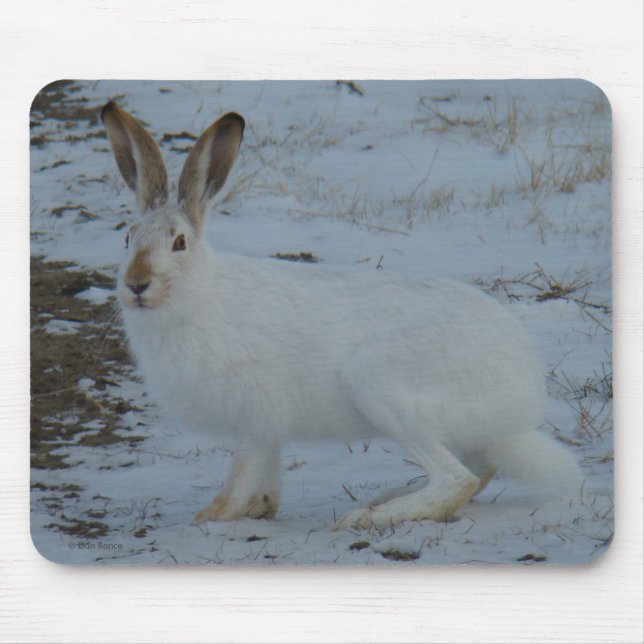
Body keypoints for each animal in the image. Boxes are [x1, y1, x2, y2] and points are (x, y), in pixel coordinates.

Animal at [101, 101, 582, 530]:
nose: (137, 284)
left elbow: (242, 470)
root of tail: (522, 394)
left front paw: (216, 515)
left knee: (456, 480)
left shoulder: (257, 411)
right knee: (479, 472)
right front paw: (262, 507)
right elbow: (265, 472)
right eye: (126, 238)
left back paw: (367, 516)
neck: (200, 295)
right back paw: (390, 496)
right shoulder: (266, 425)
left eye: (179, 243)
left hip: (383, 388)